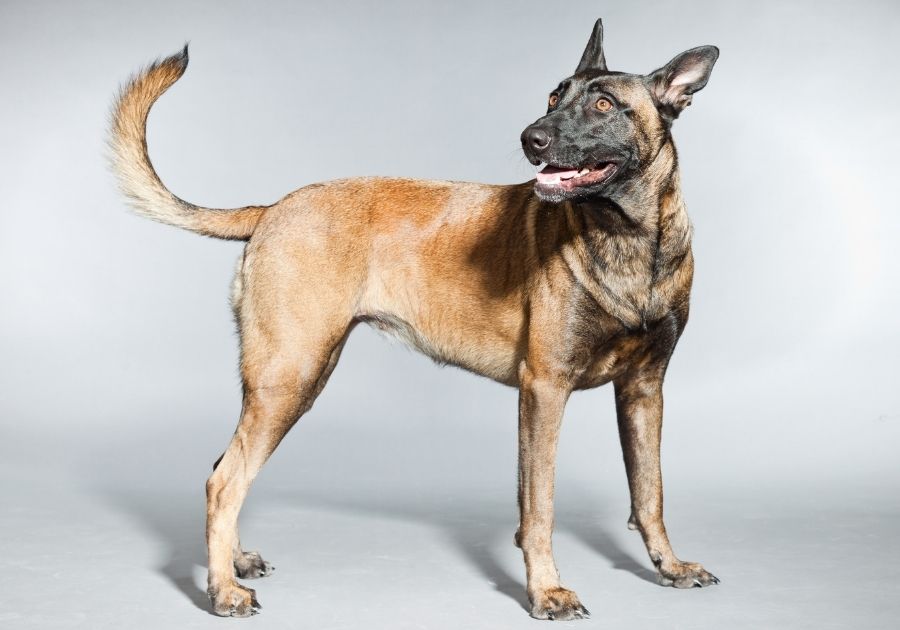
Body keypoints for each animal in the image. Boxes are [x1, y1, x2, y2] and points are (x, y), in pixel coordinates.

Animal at [109, 18, 720, 624]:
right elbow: (540, 506)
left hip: (294, 380)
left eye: (603, 103)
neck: (628, 237)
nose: (532, 138)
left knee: (226, 466)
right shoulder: (545, 390)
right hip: (290, 376)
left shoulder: (643, 391)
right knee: (225, 479)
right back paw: (221, 590)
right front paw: (546, 591)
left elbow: (648, 493)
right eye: (553, 97)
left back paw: (234, 563)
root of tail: (272, 209)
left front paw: (669, 566)